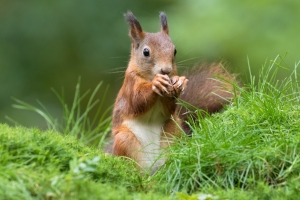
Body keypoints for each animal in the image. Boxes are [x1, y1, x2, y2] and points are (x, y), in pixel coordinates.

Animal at [111, 11, 238, 173]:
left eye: (175, 50)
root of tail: (152, 166)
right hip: (125, 140)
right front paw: (156, 83)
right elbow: (136, 101)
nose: (166, 70)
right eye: (146, 52)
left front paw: (179, 81)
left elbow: (169, 108)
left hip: (173, 133)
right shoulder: (130, 83)